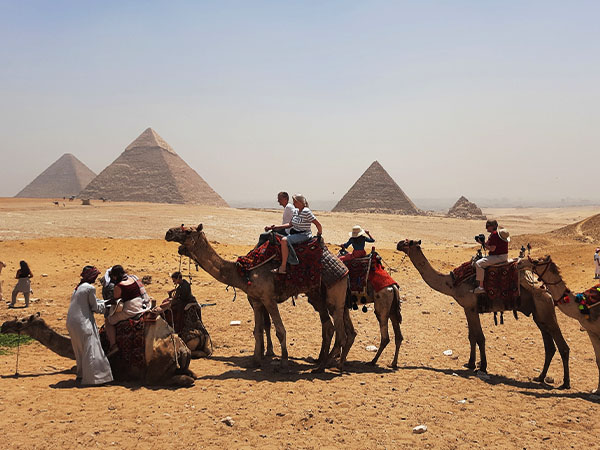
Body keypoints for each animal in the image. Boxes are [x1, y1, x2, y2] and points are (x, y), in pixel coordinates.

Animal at [164, 223, 354, 370]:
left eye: (188, 231)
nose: (168, 232)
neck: (244, 271)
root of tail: (344, 269)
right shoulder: (256, 300)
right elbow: (257, 330)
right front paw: (256, 360)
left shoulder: (268, 298)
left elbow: (280, 330)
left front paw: (283, 362)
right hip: (317, 295)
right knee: (329, 327)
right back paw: (322, 361)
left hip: (335, 294)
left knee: (340, 331)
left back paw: (325, 366)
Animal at [396, 239, 568, 386]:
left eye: (409, 242)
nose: (398, 244)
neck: (451, 282)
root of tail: (547, 290)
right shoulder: (467, 309)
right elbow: (472, 337)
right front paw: (470, 363)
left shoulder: (471, 307)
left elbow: (479, 337)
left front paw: (483, 366)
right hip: (539, 315)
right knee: (550, 347)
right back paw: (540, 377)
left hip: (545, 309)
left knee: (562, 346)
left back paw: (565, 383)